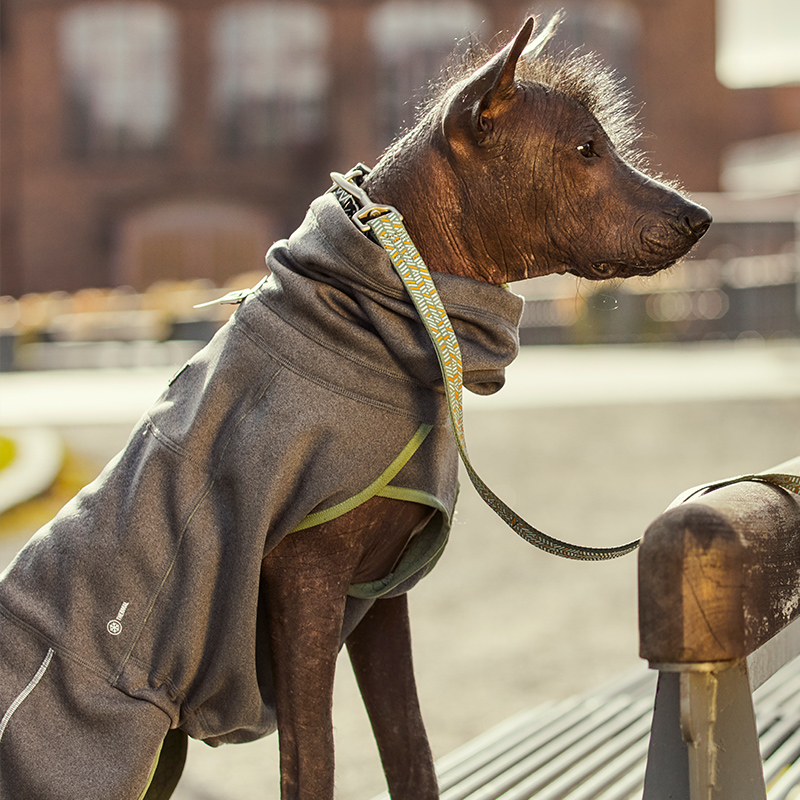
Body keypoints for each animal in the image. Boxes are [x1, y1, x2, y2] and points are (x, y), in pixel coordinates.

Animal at [1, 15, 712, 796]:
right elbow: (314, 763)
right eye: (587, 148)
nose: (700, 216)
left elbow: (410, 746)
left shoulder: (382, 594)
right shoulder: (305, 581)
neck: (385, 309)